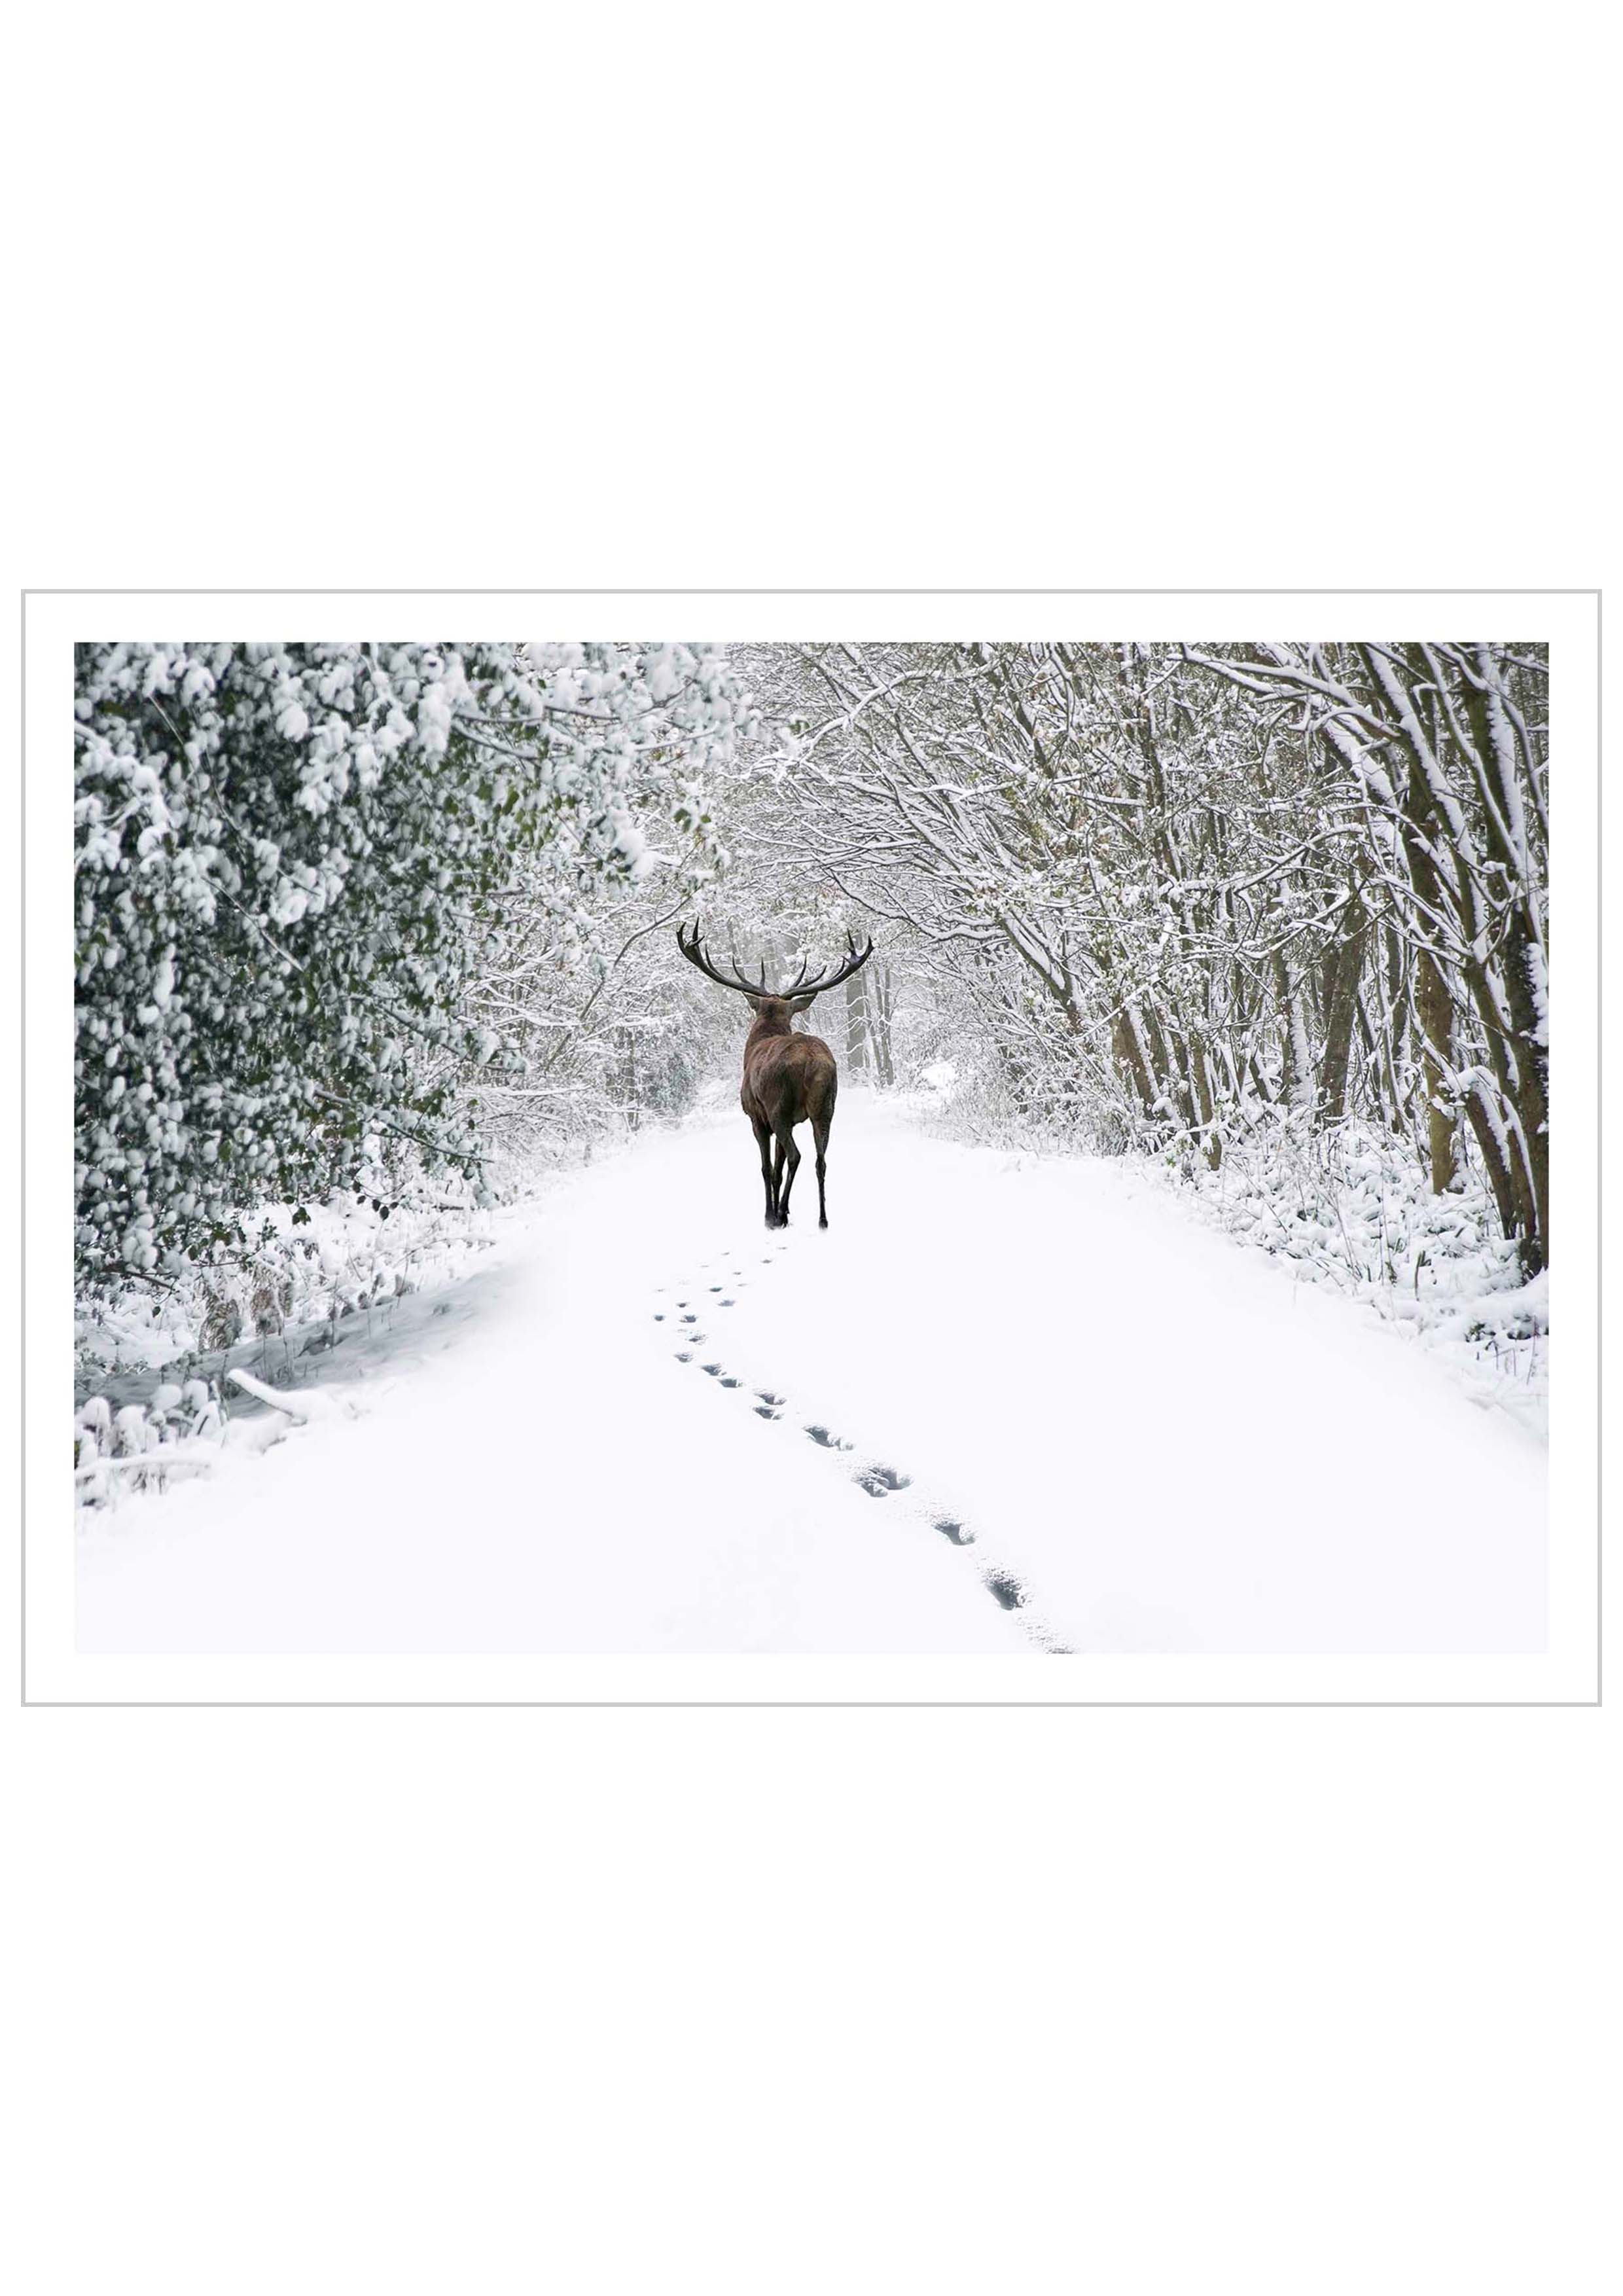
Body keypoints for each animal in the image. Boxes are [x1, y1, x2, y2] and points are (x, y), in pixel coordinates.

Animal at [675, 918, 876, 1230]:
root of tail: (813, 1063)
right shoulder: (793, 1120)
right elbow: (778, 1169)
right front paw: (787, 1210)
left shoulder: (757, 1117)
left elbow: (767, 1167)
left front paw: (770, 1214)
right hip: (825, 1107)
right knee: (821, 1159)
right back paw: (822, 1219)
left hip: (778, 1106)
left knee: (796, 1155)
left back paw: (778, 1214)